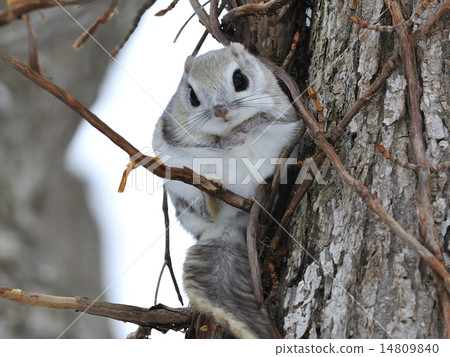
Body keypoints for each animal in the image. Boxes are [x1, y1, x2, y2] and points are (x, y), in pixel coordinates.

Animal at [152, 41, 298, 336]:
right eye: (192, 96)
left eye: (239, 79)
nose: (220, 111)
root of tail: (227, 226)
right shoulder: (174, 129)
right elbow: (208, 142)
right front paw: (228, 141)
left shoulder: (283, 109)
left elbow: (266, 119)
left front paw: (249, 126)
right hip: (184, 195)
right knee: (207, 210)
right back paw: (212, 194)